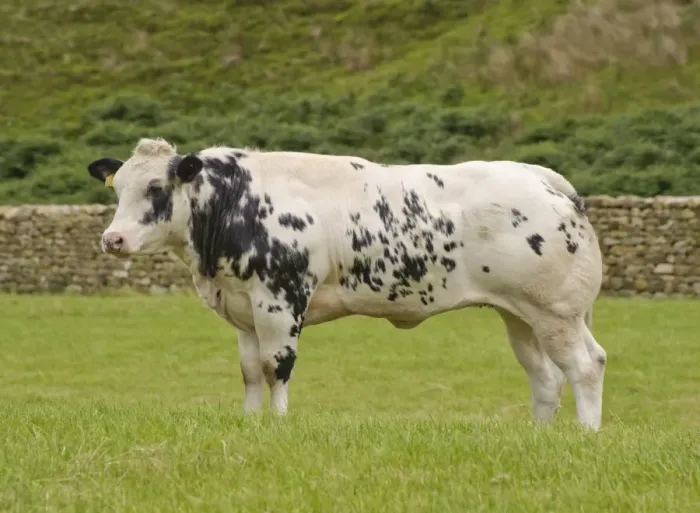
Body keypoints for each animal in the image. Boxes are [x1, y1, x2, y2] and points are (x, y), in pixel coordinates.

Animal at [87, 137, 606, 430]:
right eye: (118, 189)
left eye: (156, 188)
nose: (113, 239)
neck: (234, 204)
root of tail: (536, 175)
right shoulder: (243, 310)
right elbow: (251, 371)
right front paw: (251, 423)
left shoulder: (280, 300)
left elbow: (277, 367)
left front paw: (277, 426)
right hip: (519, 314)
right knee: (545, 377)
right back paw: (538, 437)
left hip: (556, 311)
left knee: (585, 366)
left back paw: (586, 434)